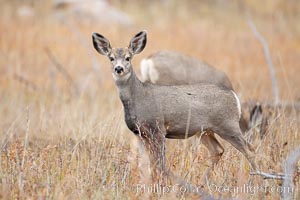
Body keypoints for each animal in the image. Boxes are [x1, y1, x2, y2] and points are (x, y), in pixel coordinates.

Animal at [91, 30, 258, 183]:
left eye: (128, 57)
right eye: (111, 58)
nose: (119, 68)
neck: (139, 96)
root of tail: (234, 96)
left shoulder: (158, 128)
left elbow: (159, 164)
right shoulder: (139, 133)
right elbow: (144, 164)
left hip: (227, 125)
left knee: (249, 149)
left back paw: (257, 180)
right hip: (204, 130)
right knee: (218, 150)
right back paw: (203, 183)